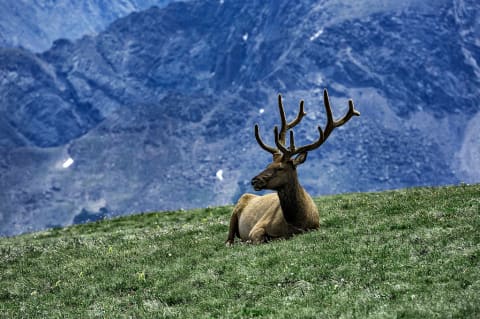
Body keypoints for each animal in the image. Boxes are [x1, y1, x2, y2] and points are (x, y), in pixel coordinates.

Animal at [227, 89, 358, 246]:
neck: (296, 222)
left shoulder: (315, 227)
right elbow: (260, 238)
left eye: (280, 168)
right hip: (236, 209)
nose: (254, 180)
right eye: (268, 164)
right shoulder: (257, 227)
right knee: (229, 239)